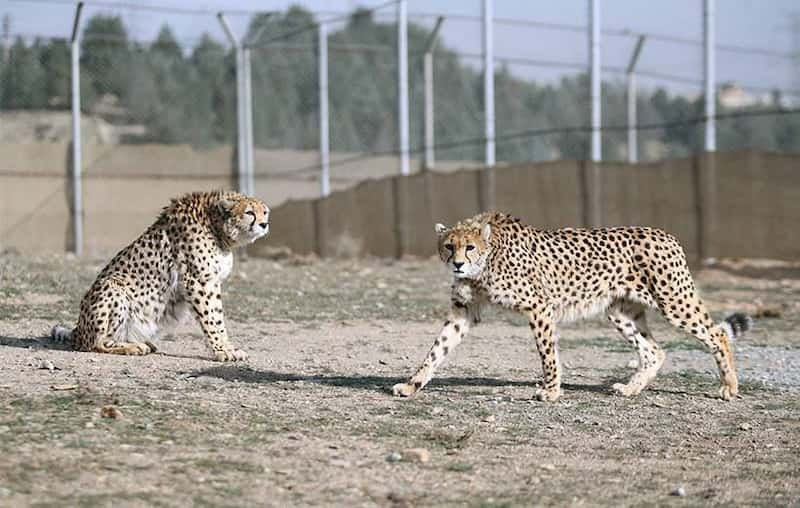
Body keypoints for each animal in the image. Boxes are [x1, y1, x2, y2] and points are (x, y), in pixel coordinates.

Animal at [54, 190, 272, 362]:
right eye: (249, 212)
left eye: (265, 212)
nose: (264, 224)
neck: (215, 224)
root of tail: (78, 329)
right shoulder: (200, 282)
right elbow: (214, 319)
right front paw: (223, 350)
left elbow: (217, 317)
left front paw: (227, 348)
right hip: (113, 286)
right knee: (96, 343)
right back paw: (133, 347)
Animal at [394, 210, 752, 400]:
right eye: (448, 245)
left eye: (469, 247)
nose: (457, 264)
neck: (487, 261)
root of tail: (666, 234)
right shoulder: (463, 311)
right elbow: (437, 349)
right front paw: (412, 384)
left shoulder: (539, 307)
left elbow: (548, 354)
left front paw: (551, 391)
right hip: (620, 311)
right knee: (655, 351)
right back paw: (630, 389)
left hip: (674, 302)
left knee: (717, 334)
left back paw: (729, 386)